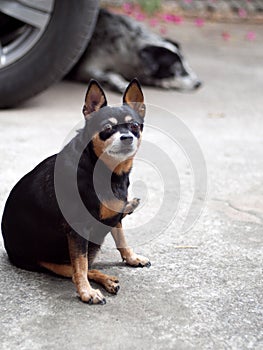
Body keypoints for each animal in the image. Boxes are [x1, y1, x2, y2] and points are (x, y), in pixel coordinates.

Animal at [70, 8, 202, 92]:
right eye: (175, 69)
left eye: (186, 63)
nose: (199, 84)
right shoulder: (87, 68)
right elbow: (111, 74)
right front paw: (119, 84)